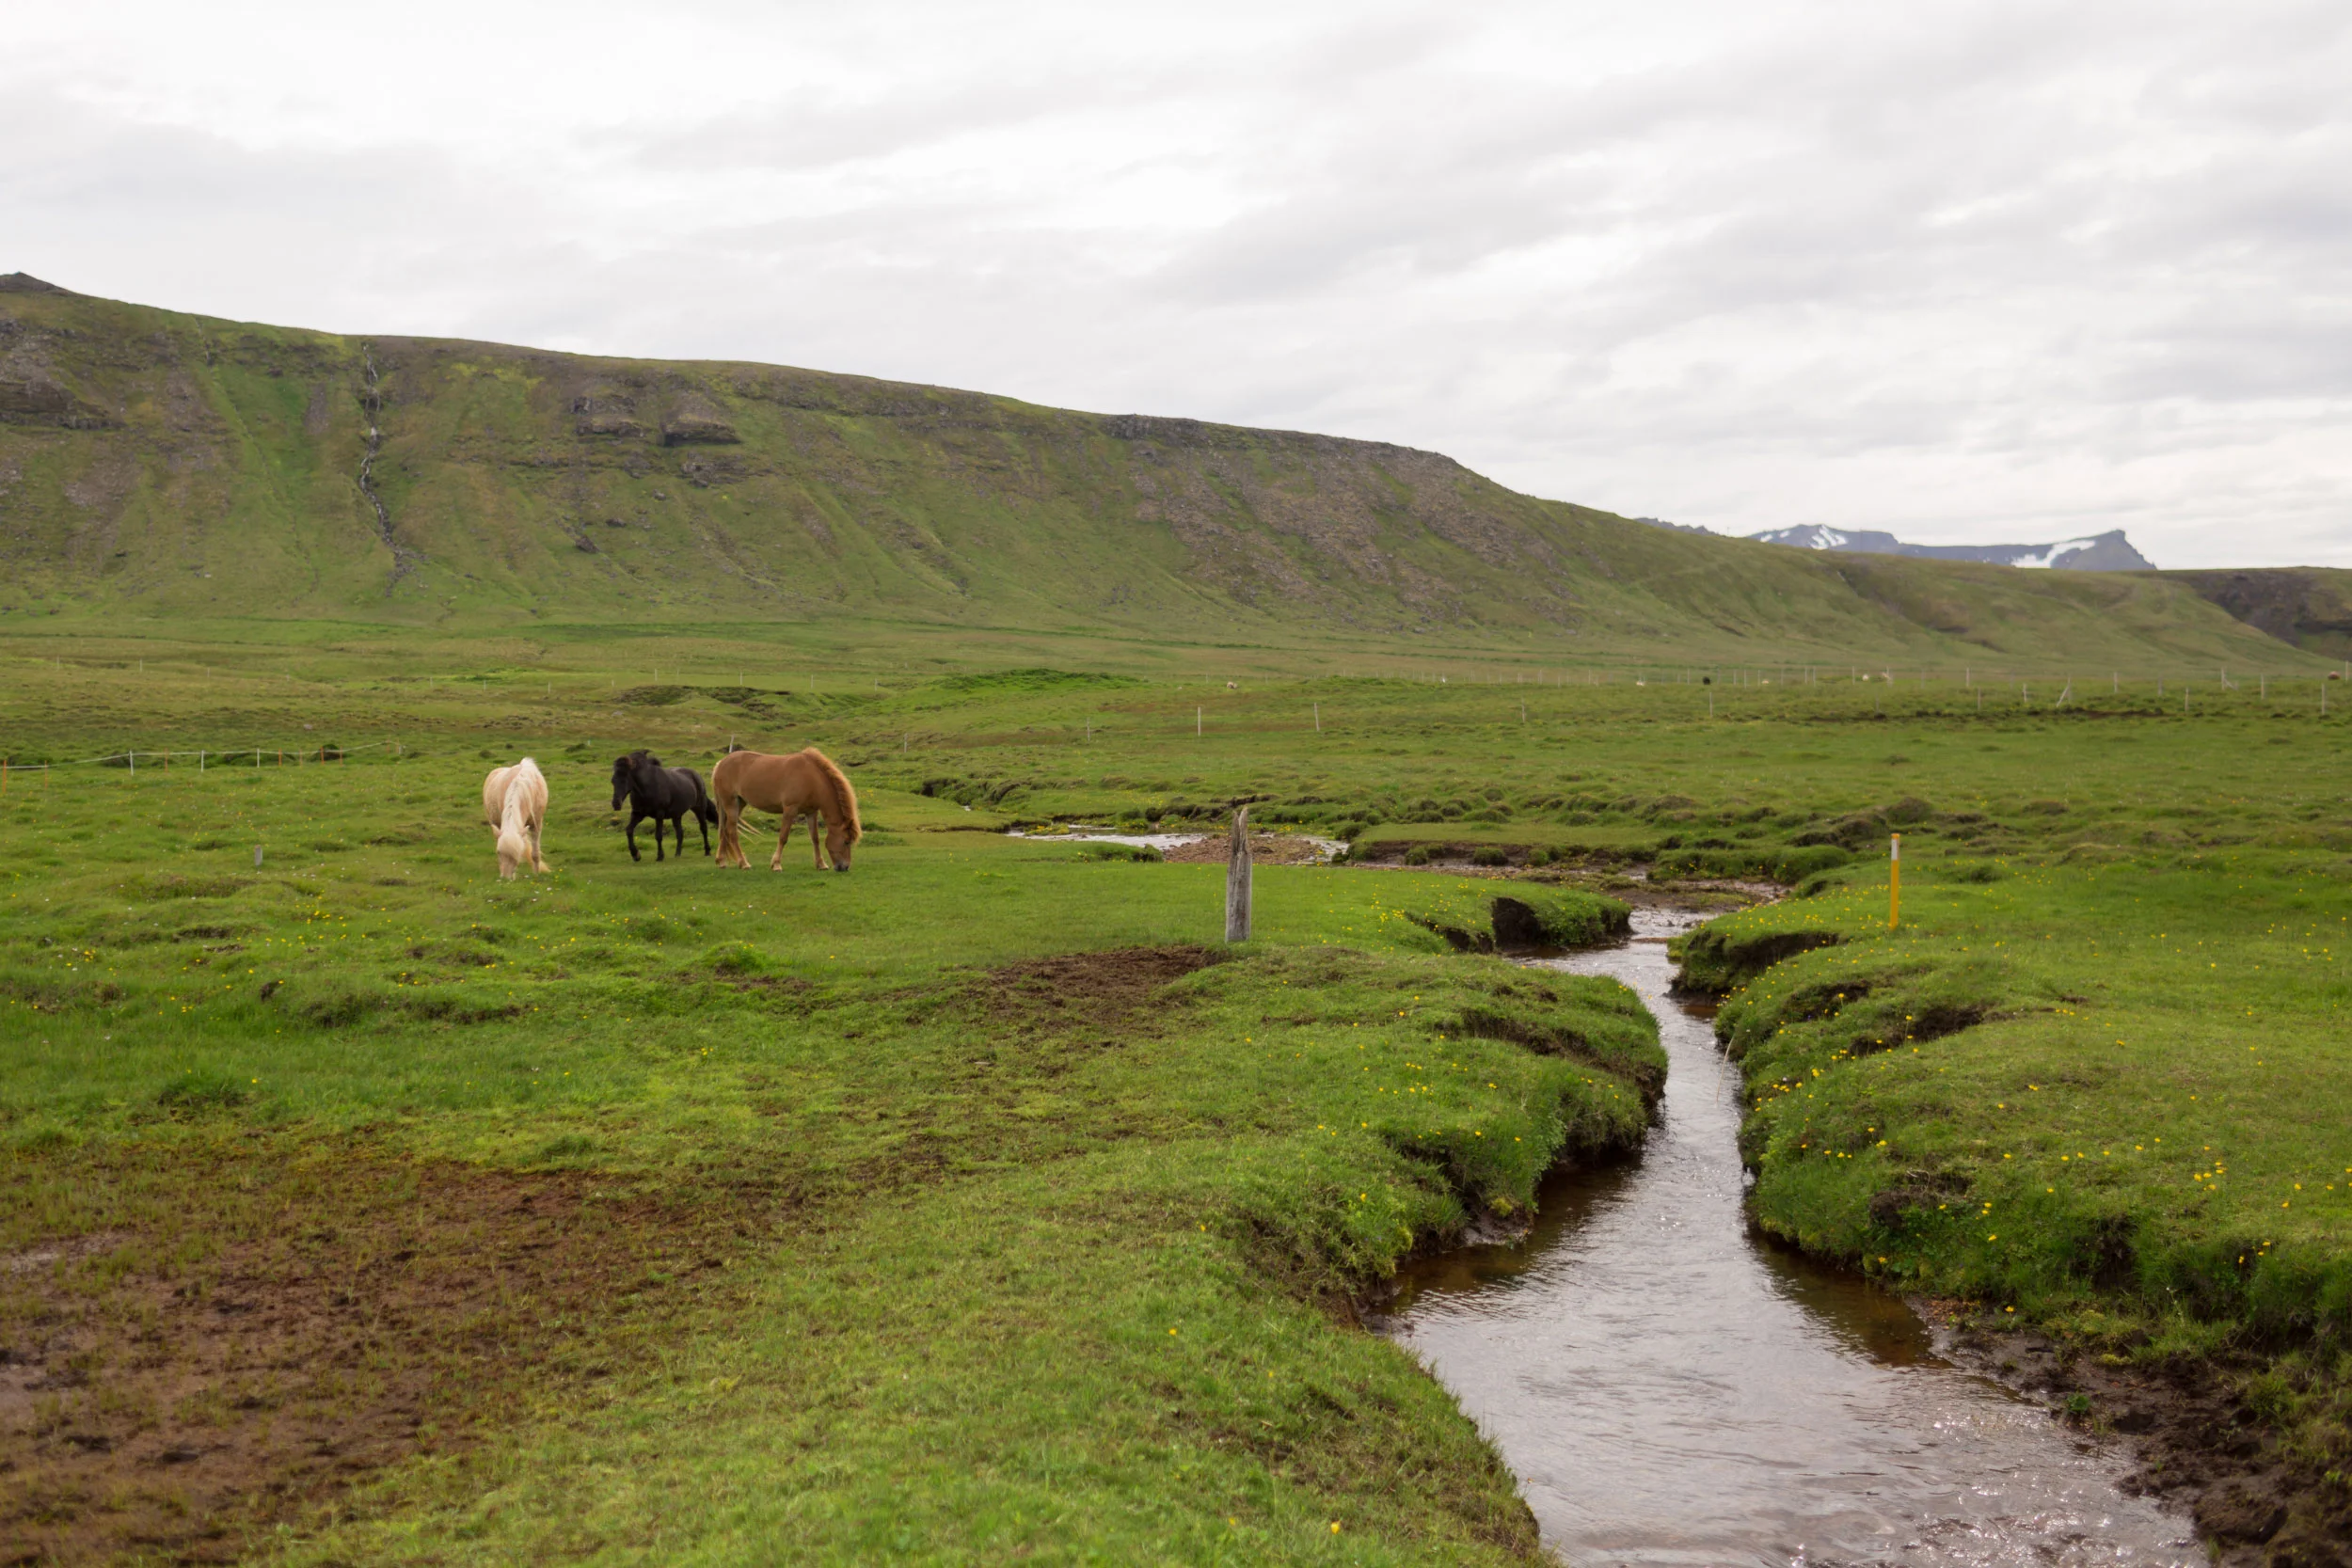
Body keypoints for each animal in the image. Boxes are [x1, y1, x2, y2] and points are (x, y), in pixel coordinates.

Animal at [482, 761, 550, 883]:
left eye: (517, 854)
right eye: (498, 852)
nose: (505, 879)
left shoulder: (536, 824)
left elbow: (535, 854)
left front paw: (536, 874)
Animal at [715, 747, 875, 869]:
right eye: (846, 841)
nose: (845, 867)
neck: (811, 778)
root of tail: (720, 763)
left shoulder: (811, 812)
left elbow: (815, 838)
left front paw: (821, 864)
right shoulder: (790, 810)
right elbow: (783, 837)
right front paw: (776, 864)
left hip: (739, 804)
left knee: (725, 830)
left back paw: (722, 861)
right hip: (731, 803)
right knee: (732, 831)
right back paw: (743, 863)